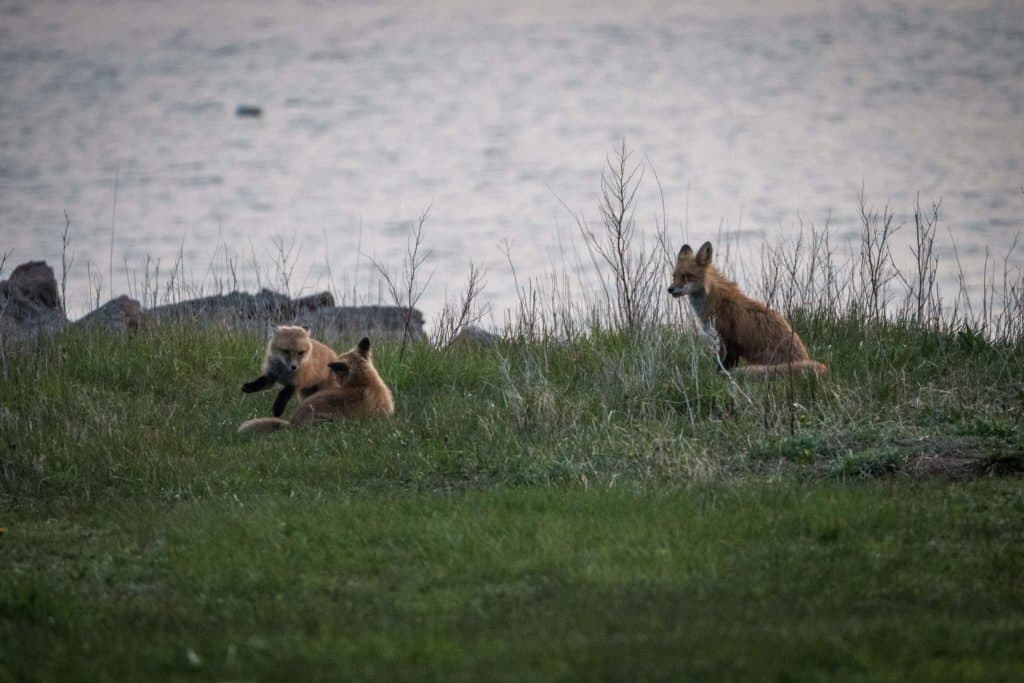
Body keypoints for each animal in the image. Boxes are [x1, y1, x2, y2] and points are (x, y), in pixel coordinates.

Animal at [667, 241, 827, 378]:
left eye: (687, 276)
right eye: (674, 276)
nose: (670, 289)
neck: (714, 301)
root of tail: (804, 359)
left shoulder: (730, 342)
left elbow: (724, 367)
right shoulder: (721, 342)